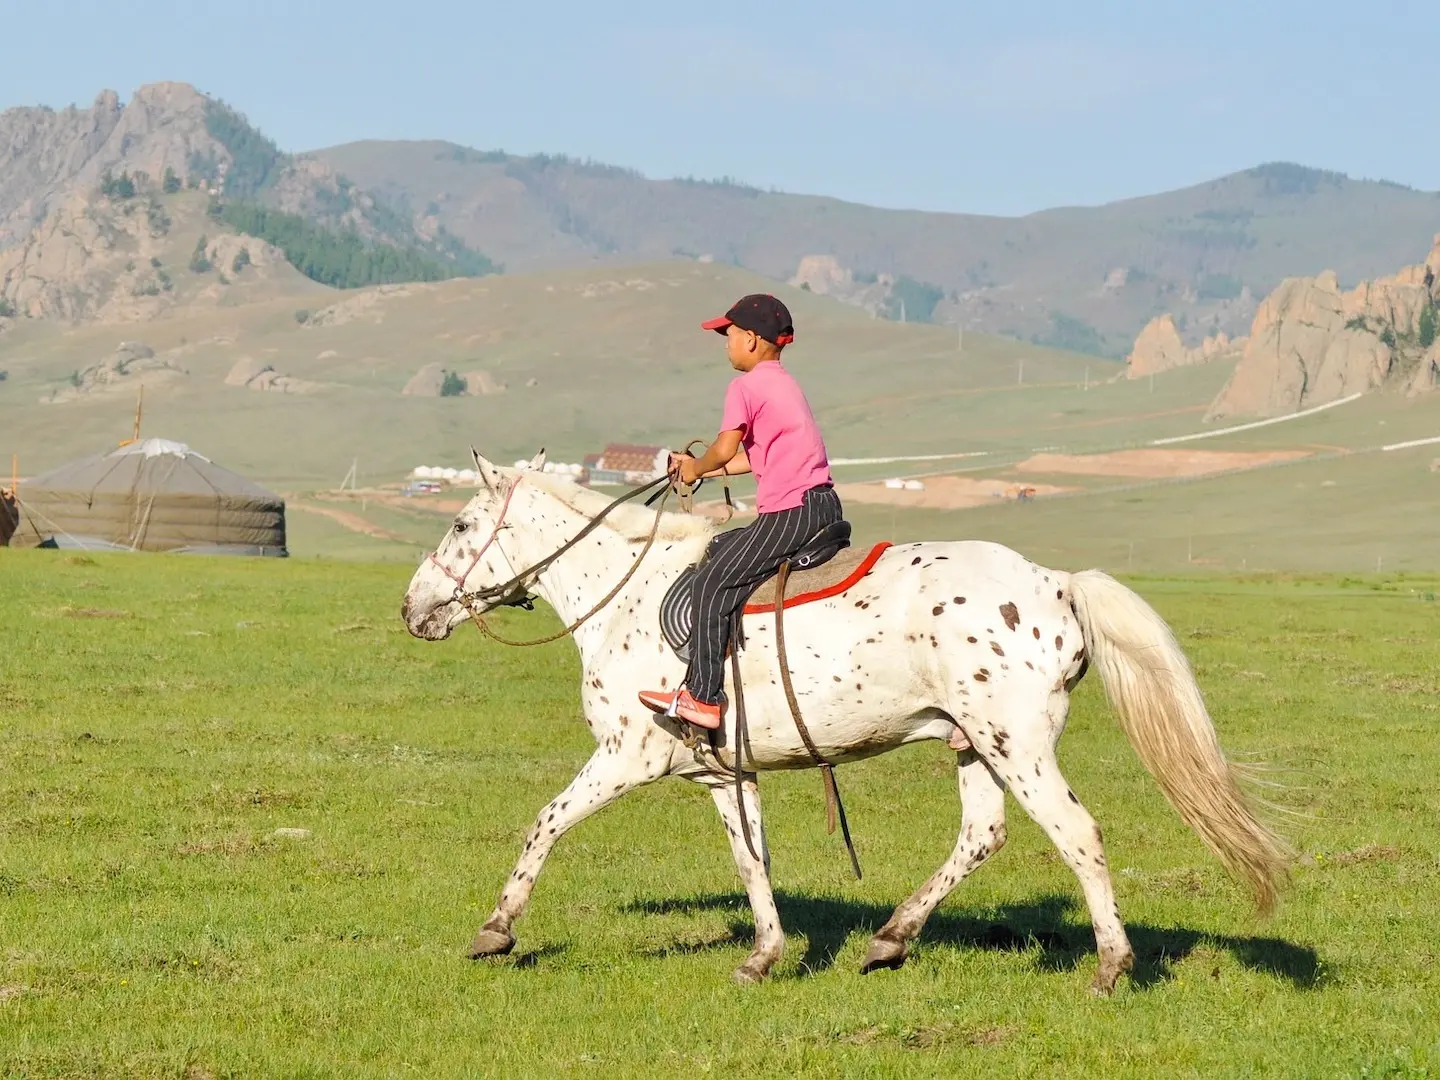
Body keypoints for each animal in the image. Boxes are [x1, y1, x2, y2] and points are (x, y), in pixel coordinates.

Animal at [400, 452, 1290, 996]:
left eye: (460, 526)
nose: (412, 610)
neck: (624, 596)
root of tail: (1057, 584)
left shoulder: (626, 755)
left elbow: (545, 822)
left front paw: (495, 932)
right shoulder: (721, 771)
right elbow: (751, 861)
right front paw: (763, 957)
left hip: (1017, 744)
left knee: (1076, 832)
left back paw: (1109, 967)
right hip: (974, 744)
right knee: (983, 834)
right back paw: (890, 938)